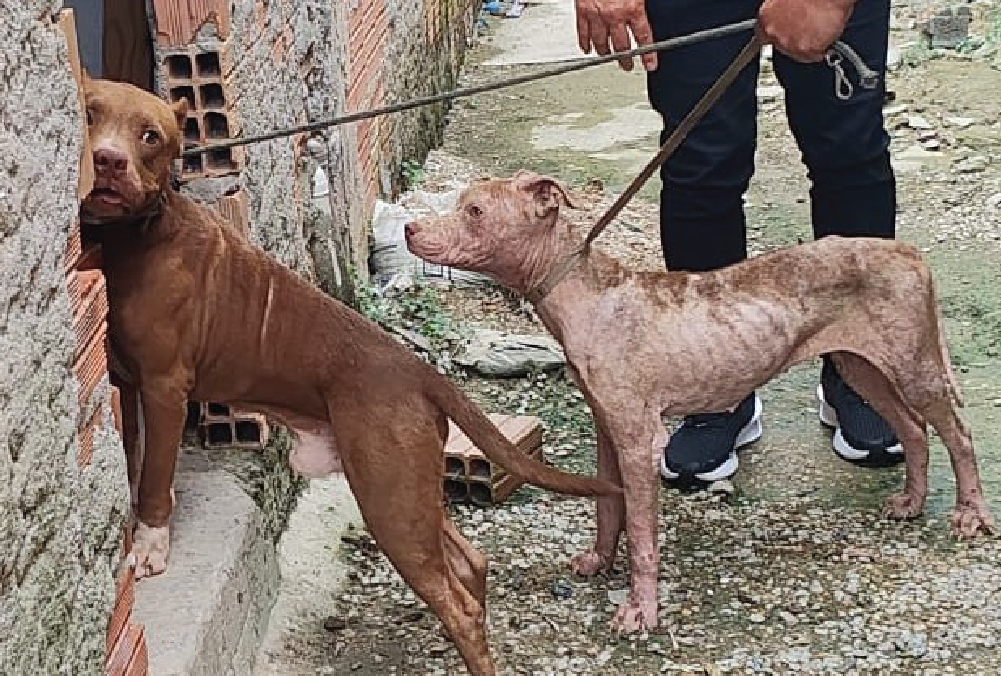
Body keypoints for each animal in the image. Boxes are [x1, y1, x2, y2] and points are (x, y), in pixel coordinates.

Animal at [78, 79, 620, 676]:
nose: (106, 160)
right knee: (471, 563)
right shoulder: (131, 386)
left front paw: (149, 544)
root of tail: (418, 369)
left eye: (150, 135)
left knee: (457, 604)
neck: (142, 230)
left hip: (389, 503)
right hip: (409, 492)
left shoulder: (164, 388)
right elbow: (134, 459)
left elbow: (154, 478)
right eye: (88, 114)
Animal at [404, 171, 997, 634]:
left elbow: (642, 536)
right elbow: (607, 509)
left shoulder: (639, 440)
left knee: (958, 434)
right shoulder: (608, 430)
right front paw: (598, 561)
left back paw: (971, 515)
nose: (409, 228)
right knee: (914, 430)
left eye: (475, 211)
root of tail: (907, 250)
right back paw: (912, 502)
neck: (589, 296)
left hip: (915, 369)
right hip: (861, 366)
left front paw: (640, 611)